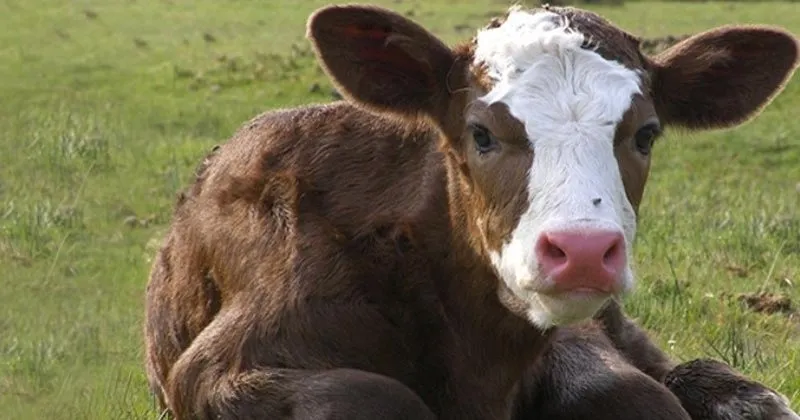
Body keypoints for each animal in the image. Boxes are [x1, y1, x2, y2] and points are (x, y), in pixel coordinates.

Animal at [145, 4, 800, 420]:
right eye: (480, 134)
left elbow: (626, 392)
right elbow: (370, 397)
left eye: (646, 134)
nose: (584, 252)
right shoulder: (218, 368)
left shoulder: (575, 334)